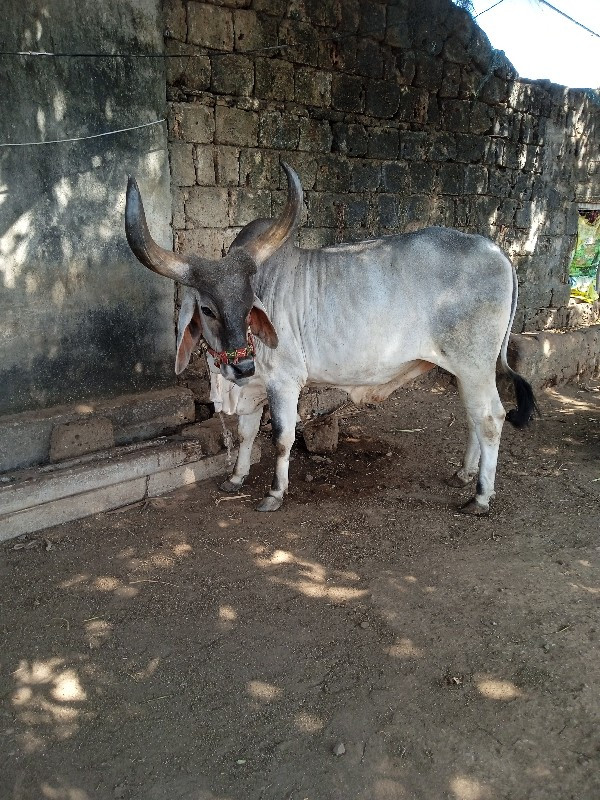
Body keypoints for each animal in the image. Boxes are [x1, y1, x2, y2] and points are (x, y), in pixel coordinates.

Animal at [124, 161, 536, 520]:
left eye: (249, 304)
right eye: (208, 309)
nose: (242, 364)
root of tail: (498, 252)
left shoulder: (284, 382)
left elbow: (281, 438)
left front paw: (275, 492)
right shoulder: (253, 386)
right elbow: (245, 434)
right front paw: (237, 478)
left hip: (475, 365)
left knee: (490, 419)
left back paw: (480, 496)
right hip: (464, 371)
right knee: (473, 417)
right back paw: (464, 474)